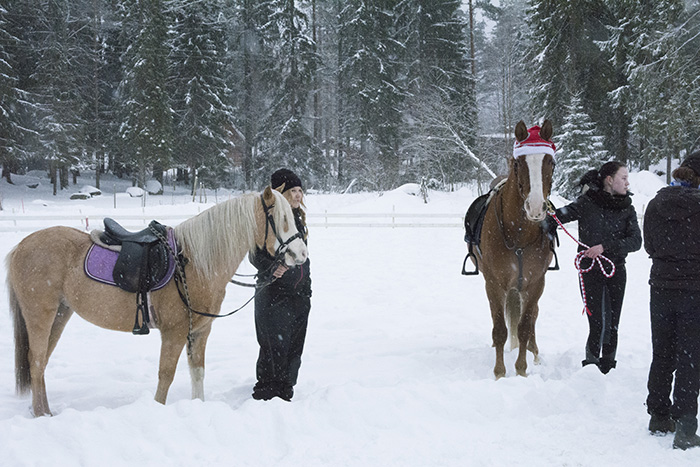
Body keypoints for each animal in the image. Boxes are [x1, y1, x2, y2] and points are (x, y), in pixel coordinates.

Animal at [6, 186, 308, 416]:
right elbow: (166, 374)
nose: (302, 254)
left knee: (40, 362)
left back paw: (44, 411)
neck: (194, 263)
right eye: (281, 218)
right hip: (41, 315)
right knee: (36, 361)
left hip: (60, 313)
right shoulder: (174, 332)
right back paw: (41, 414)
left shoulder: (200, 331)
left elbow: (197, 372)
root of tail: (20, 246)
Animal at [476, 120, 556, 379]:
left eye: (551, 162)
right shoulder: (494, 284)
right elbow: (500, 329)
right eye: (519, 163)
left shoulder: (535, 284)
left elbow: (524, 327)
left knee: (531, 320)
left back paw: (534, 352)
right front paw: (500, 373)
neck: (519, 234)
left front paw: (521, 370)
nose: (536, 207)